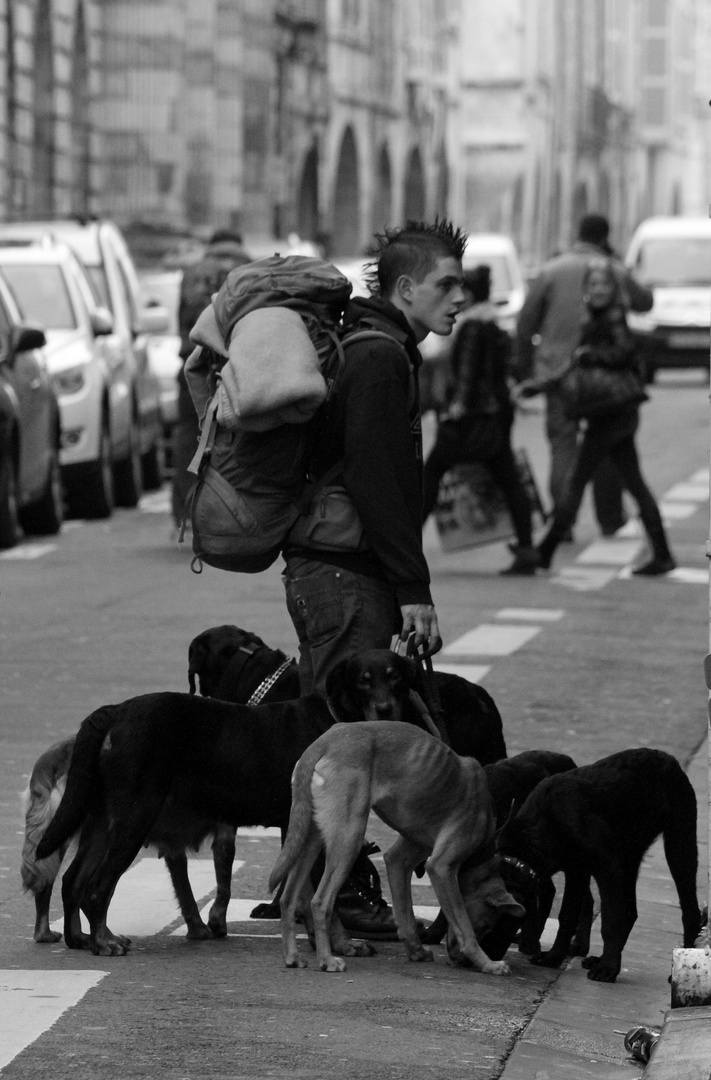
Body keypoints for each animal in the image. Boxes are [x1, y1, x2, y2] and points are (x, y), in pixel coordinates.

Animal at [265, 721, 520, 976]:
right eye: (486, 925)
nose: (458, 960)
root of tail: (324, 742)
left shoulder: (399, 860)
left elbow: (406, 914)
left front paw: (416, 951)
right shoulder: (441, 868)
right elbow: (463, 925)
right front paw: (487, 963)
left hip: (311, 838)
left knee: (288, 898)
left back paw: (292, 957)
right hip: (349, 839)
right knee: (319, 903)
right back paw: (327, 960)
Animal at [494, 747, 700, 984]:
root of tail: (667, 757)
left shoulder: (606, 868)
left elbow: (610, 921)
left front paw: (608, 969)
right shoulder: (577, 871)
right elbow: (567, 916)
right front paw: (554, 956)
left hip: (679, 842)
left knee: (689, 911)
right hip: (629, 857)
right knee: (630, 911)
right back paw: (600, 958)